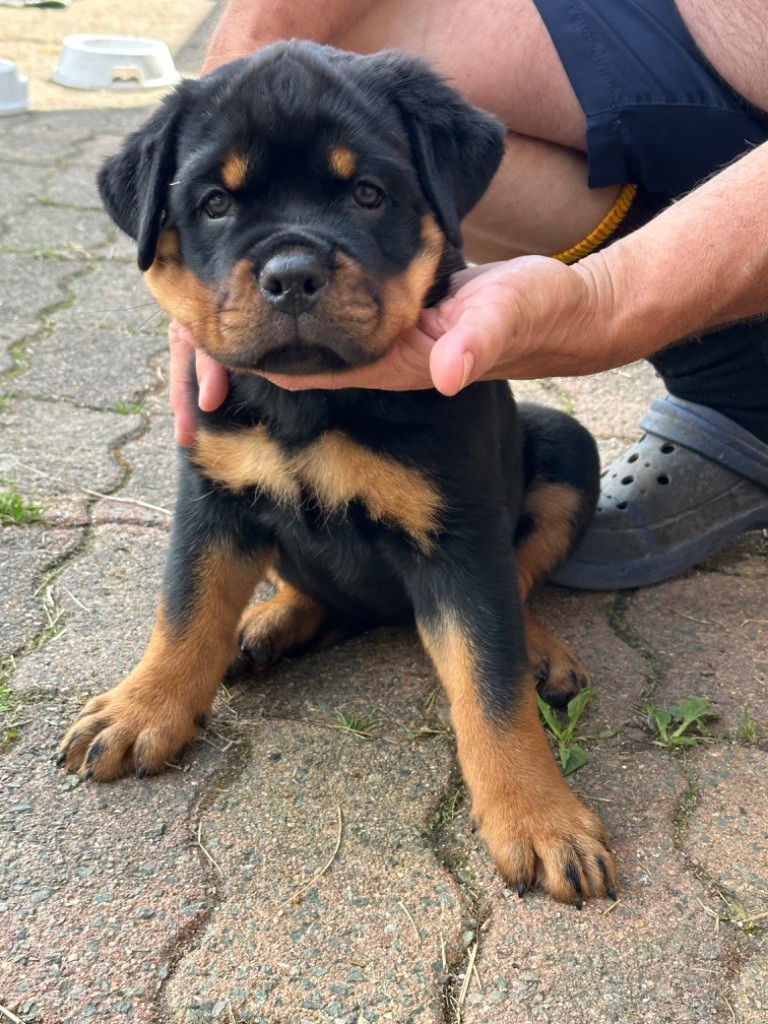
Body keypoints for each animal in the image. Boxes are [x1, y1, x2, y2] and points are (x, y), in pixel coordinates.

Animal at [58, 41, 616, 905]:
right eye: (214, 203)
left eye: (367, 193)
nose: (291, 273)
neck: (310, 403)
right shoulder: (212, 497)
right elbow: (185, 610)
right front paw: (141, 707)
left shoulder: (460, 534)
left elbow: (491, 683)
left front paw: (539, 815)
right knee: (307, 593)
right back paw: (262, 626)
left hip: (564, 443)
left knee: (520, 586)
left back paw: (542, 650)